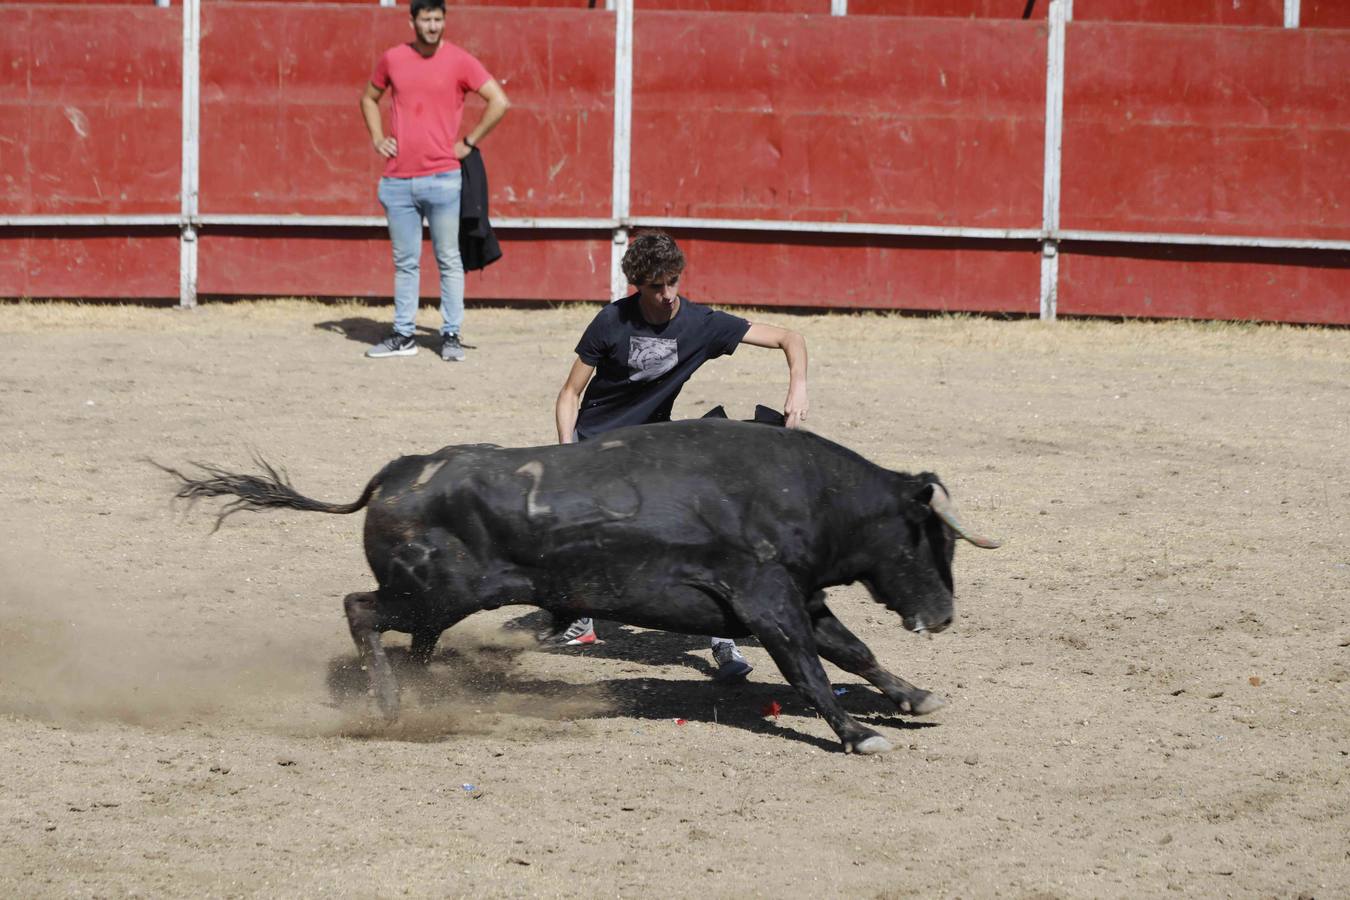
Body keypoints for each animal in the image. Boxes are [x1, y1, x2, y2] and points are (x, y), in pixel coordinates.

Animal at [163, 420, 999, 755]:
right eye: (930, 538)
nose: (944, 614)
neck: (809, 495)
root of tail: (399, 472)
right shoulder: (769, 604)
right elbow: (813, 672)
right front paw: (859, 734)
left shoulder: (801, 599)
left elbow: (854, 652)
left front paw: (915, 696)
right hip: (435, 592)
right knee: (360, 610)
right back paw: (395, 704)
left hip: (438, 600)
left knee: (407, 634)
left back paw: (425, 689)